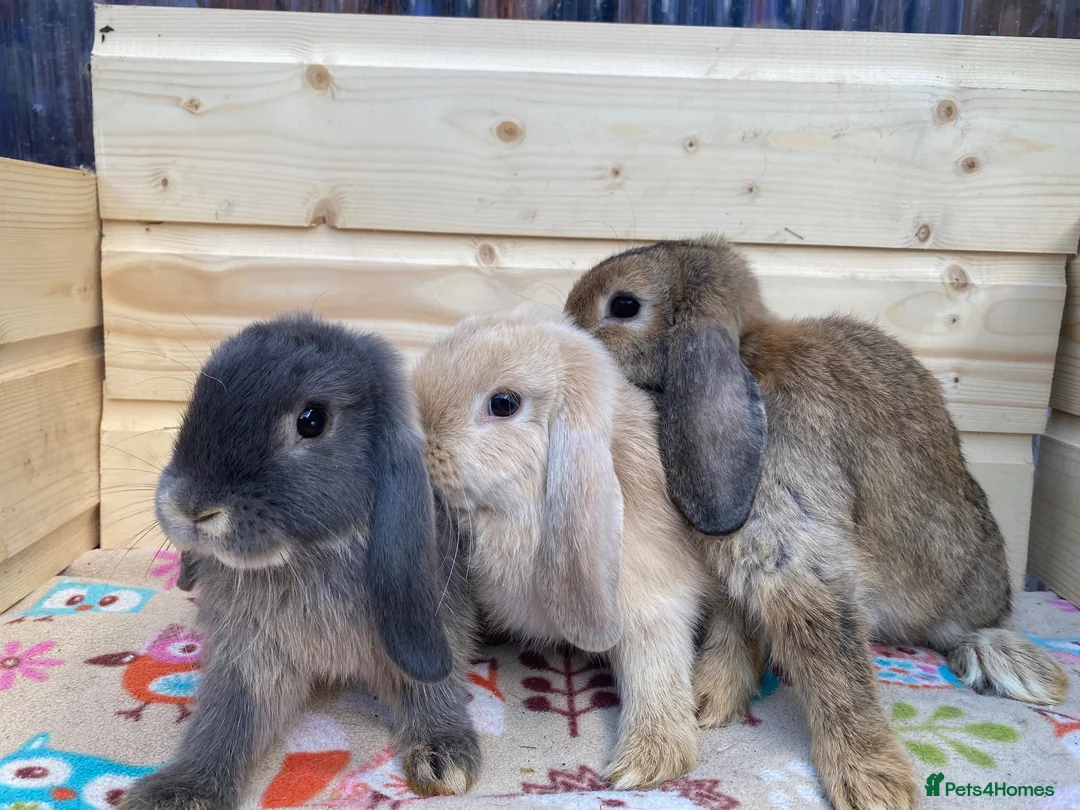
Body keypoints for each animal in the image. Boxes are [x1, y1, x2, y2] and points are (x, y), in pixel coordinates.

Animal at [121, 314, 480, 810]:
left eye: (312, 421)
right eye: (196, 399)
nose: (192, 508)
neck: (306, 555)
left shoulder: (428, 625)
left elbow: (431, 685)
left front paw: (444, 757)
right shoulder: (250, 657)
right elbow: (226, 717)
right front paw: (182, 791)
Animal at [563, 237, 1068, 810]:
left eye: (624, 305)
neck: (750, 358)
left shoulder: (791, 549)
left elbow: (832, 659)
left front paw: (873, 780)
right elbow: (737, 629)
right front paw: (709, 702)